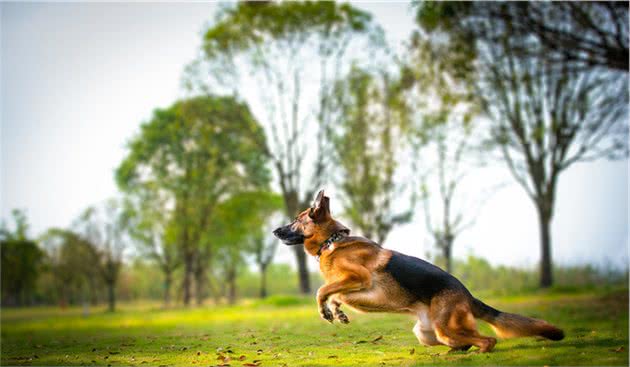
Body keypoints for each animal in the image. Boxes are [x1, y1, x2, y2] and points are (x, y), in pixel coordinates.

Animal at [274, 191, 564, 352]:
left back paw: (475, 353)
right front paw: (337, 312)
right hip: (427, 334)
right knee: (468, 340)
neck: (331, 241)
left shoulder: (358, 278)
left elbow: (323, 290)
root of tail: (467, 295)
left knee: (488, 341)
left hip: (445, 328)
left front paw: (327, 310)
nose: (275, 231)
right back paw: (457, 352)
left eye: (297, 220)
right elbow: (335, 293)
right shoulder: (350, 285)